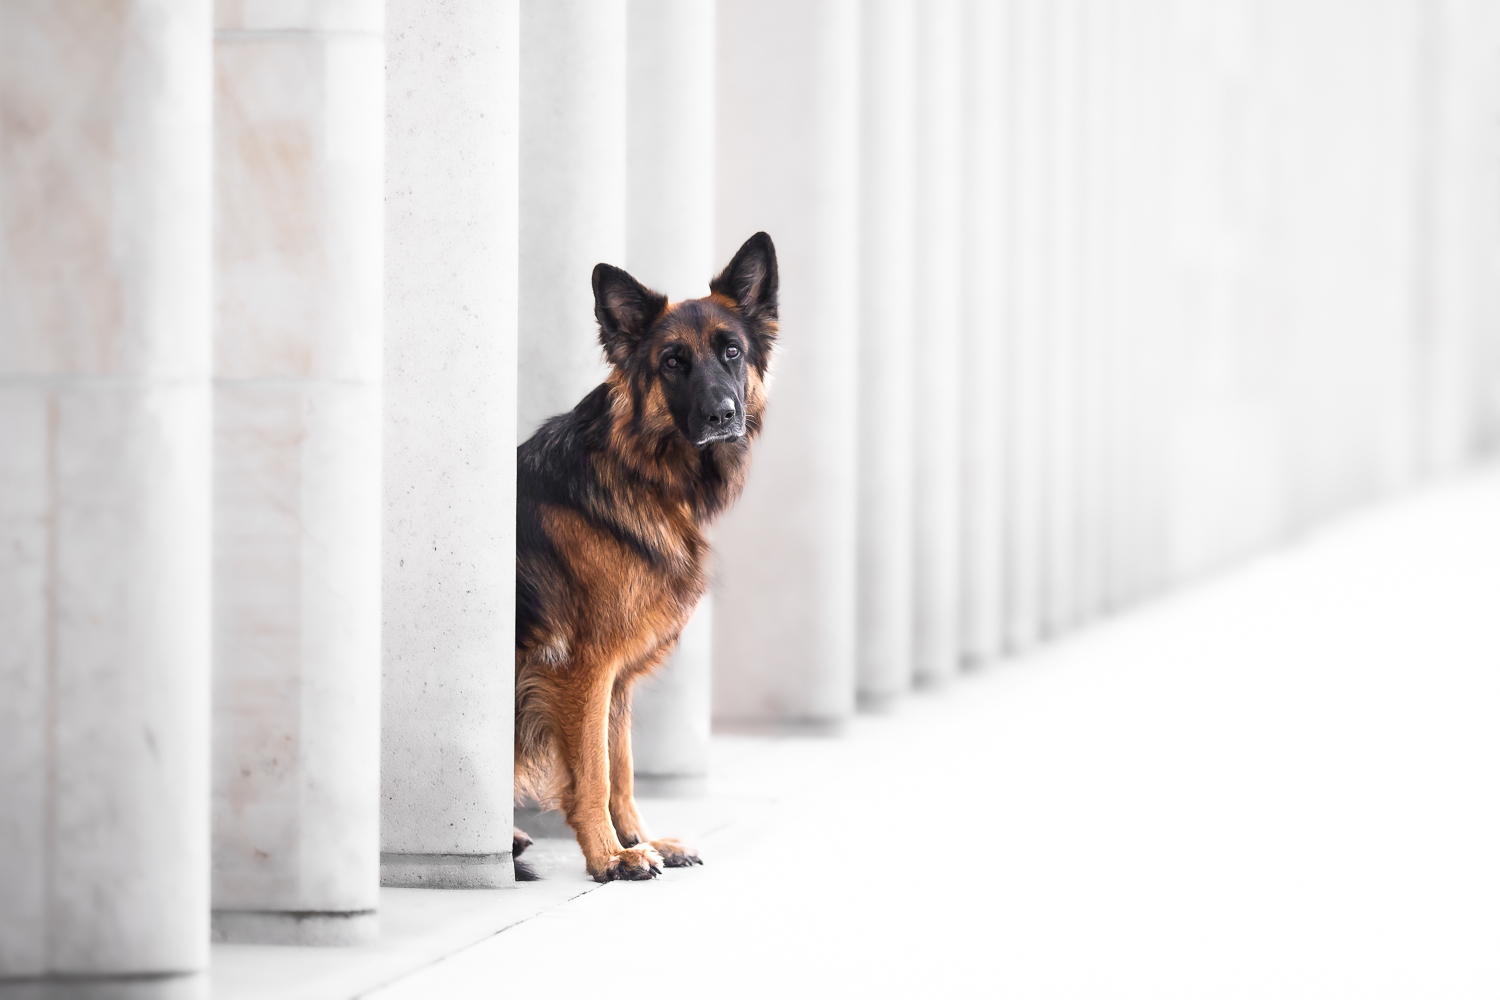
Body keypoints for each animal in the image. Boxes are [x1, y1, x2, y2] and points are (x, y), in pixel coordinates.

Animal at [513, 230, 774, 881]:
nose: (722, 415)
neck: (639, 470)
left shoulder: (615, 679)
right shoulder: (583, 668)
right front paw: (610, 856)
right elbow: (593, 772)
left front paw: (641, 839)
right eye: (672, 362)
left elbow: (621, 766)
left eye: (732, 352)